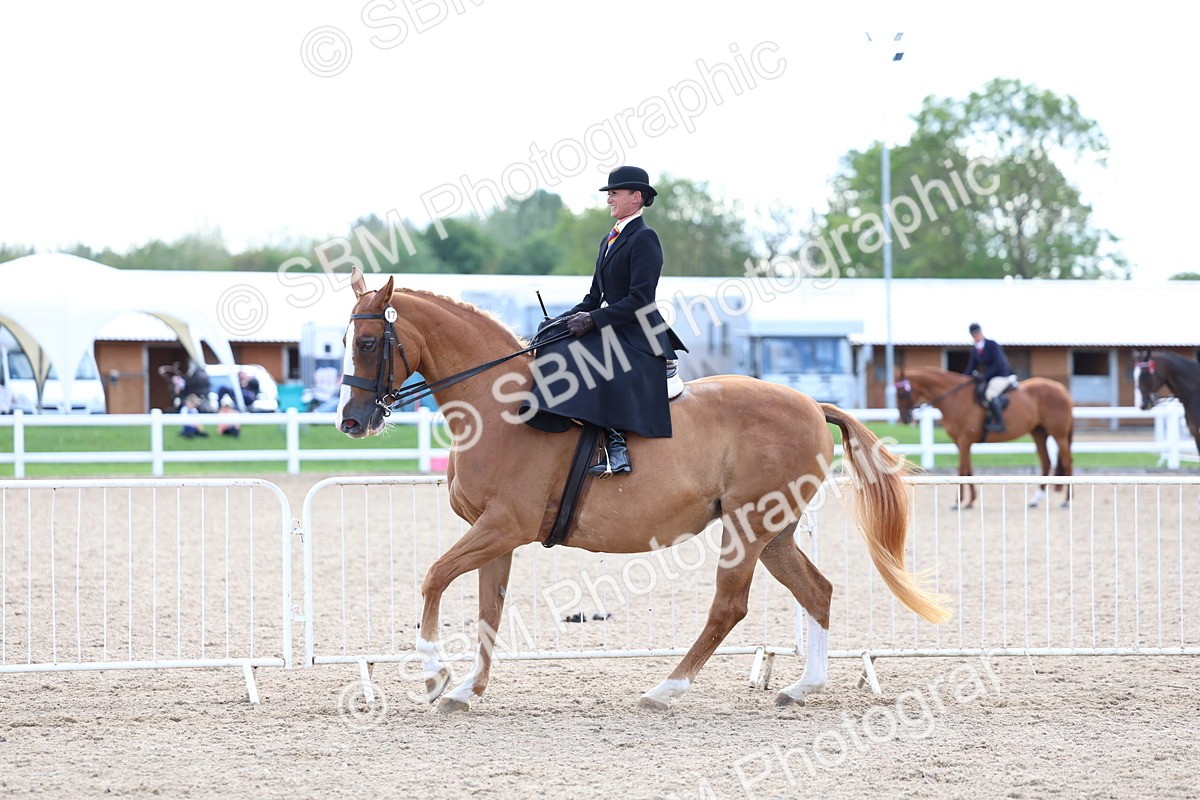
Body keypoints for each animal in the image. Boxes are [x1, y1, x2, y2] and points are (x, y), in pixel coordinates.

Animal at [337, 267, 951, 713]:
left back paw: (665, 689)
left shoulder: (503, 526)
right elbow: (488, 609)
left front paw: (434, 675)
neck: (499, 405)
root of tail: (811, 404)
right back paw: (803, 688)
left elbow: (434, 577)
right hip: (773, 530)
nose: (352, 421)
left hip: (748, 525)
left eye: (367, 342)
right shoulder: (495, 535)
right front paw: (466, 690)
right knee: (816, 590)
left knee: (730, 605)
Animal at [894, 366, 1075, 509]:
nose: (904, 418)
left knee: (1066, 462)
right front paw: (970, 501)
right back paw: (1035, 500)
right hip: (1039, 432)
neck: (954, 398)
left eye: (902, 393)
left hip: (1058, 434)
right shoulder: (961, 443)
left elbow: (962, 470)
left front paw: (959, 502)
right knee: (1046, 462)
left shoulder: (964, 440)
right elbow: (969, 470)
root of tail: (1061, 389)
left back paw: (1067, 500)